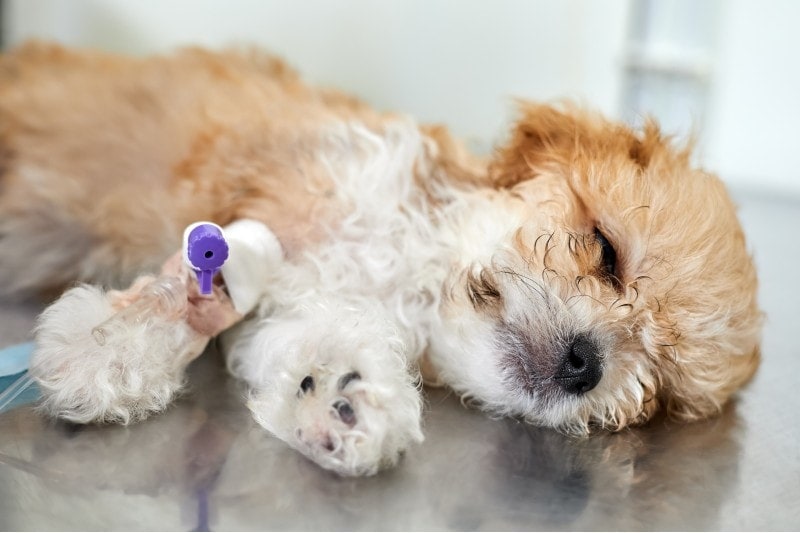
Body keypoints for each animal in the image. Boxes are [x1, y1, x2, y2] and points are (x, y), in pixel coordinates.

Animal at [0, 42, 760, 474]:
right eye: (606, 249)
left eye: (657, 391)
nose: (586, 363)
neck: (414, 267)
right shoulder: (260, 178)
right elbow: (201, 262)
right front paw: (111, 344)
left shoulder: (305, 306)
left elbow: (307, 339)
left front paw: (345, 399)